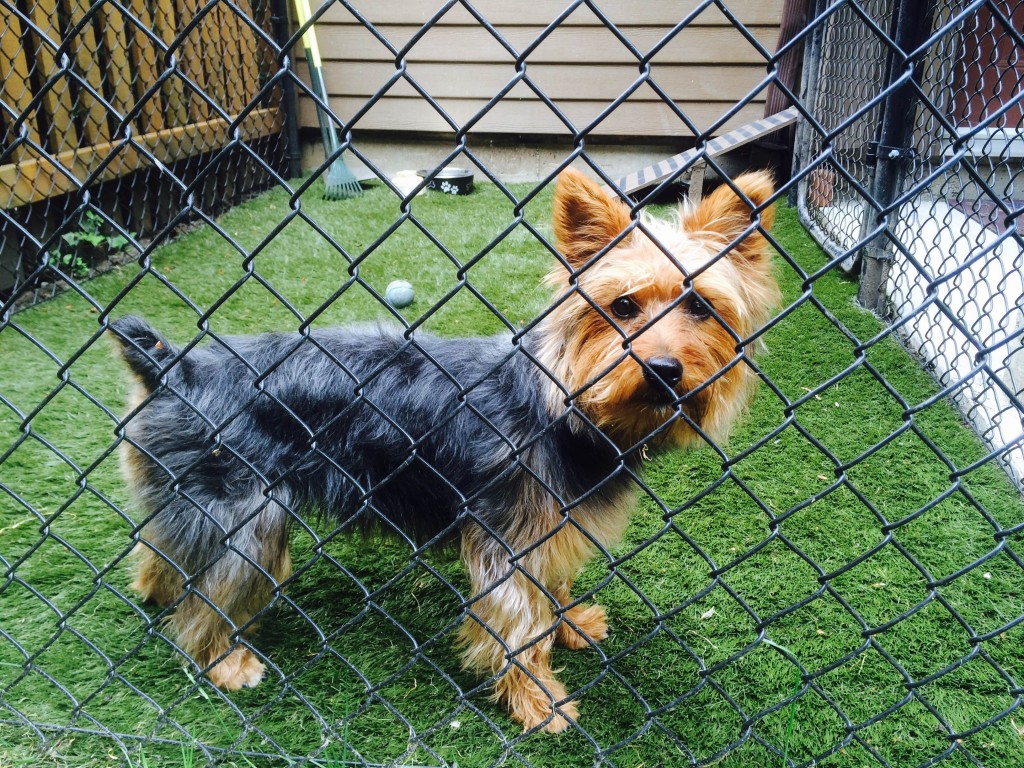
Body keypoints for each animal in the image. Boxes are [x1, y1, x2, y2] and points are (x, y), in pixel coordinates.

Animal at [112, 167, 778, 733]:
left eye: (701, 306)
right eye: (621, 306)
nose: (663, 369)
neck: (571, 411)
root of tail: (173, 367)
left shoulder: (552, 526)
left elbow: (553, 589)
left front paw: (570, 624)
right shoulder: (509, 537)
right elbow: (519, 625)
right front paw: (537, 699)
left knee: (164, 550)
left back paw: (154, 590)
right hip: (242, 512)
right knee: (209, 592)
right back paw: (221, 660)